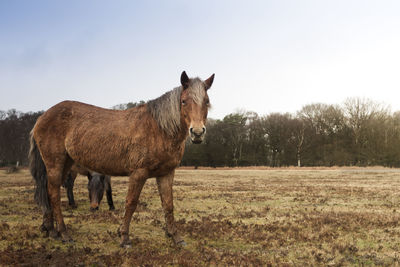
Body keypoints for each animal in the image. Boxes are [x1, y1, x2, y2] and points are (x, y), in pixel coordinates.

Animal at [29, 70, 214, 247]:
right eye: (183, 101)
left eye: (206, 101)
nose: (197, 132)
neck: (159, 129)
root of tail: (42, 117)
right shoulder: (138, 173)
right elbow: (131, 203)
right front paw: (124, 237)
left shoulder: (166, 173)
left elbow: (168, 205)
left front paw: (176, 237)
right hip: (55, 164)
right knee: (53, 194)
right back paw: (63, 233)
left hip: (65, 164)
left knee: (48, 191)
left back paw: (50, 230)